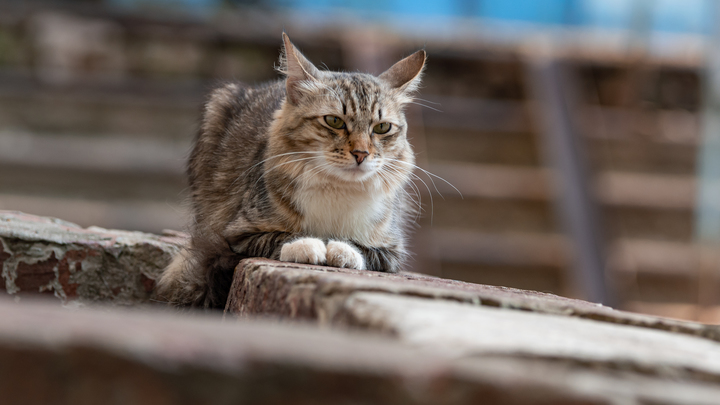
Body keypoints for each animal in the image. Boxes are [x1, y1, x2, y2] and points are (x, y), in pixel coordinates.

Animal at [156, 34, 428, 306]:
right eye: (334, 121)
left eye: (382, 127)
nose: (361, 154)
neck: (336, 189)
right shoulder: (237, 233)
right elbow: (279, 237)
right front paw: (310, 246)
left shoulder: (392, 250)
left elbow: (365, 250)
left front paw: (341, 250)